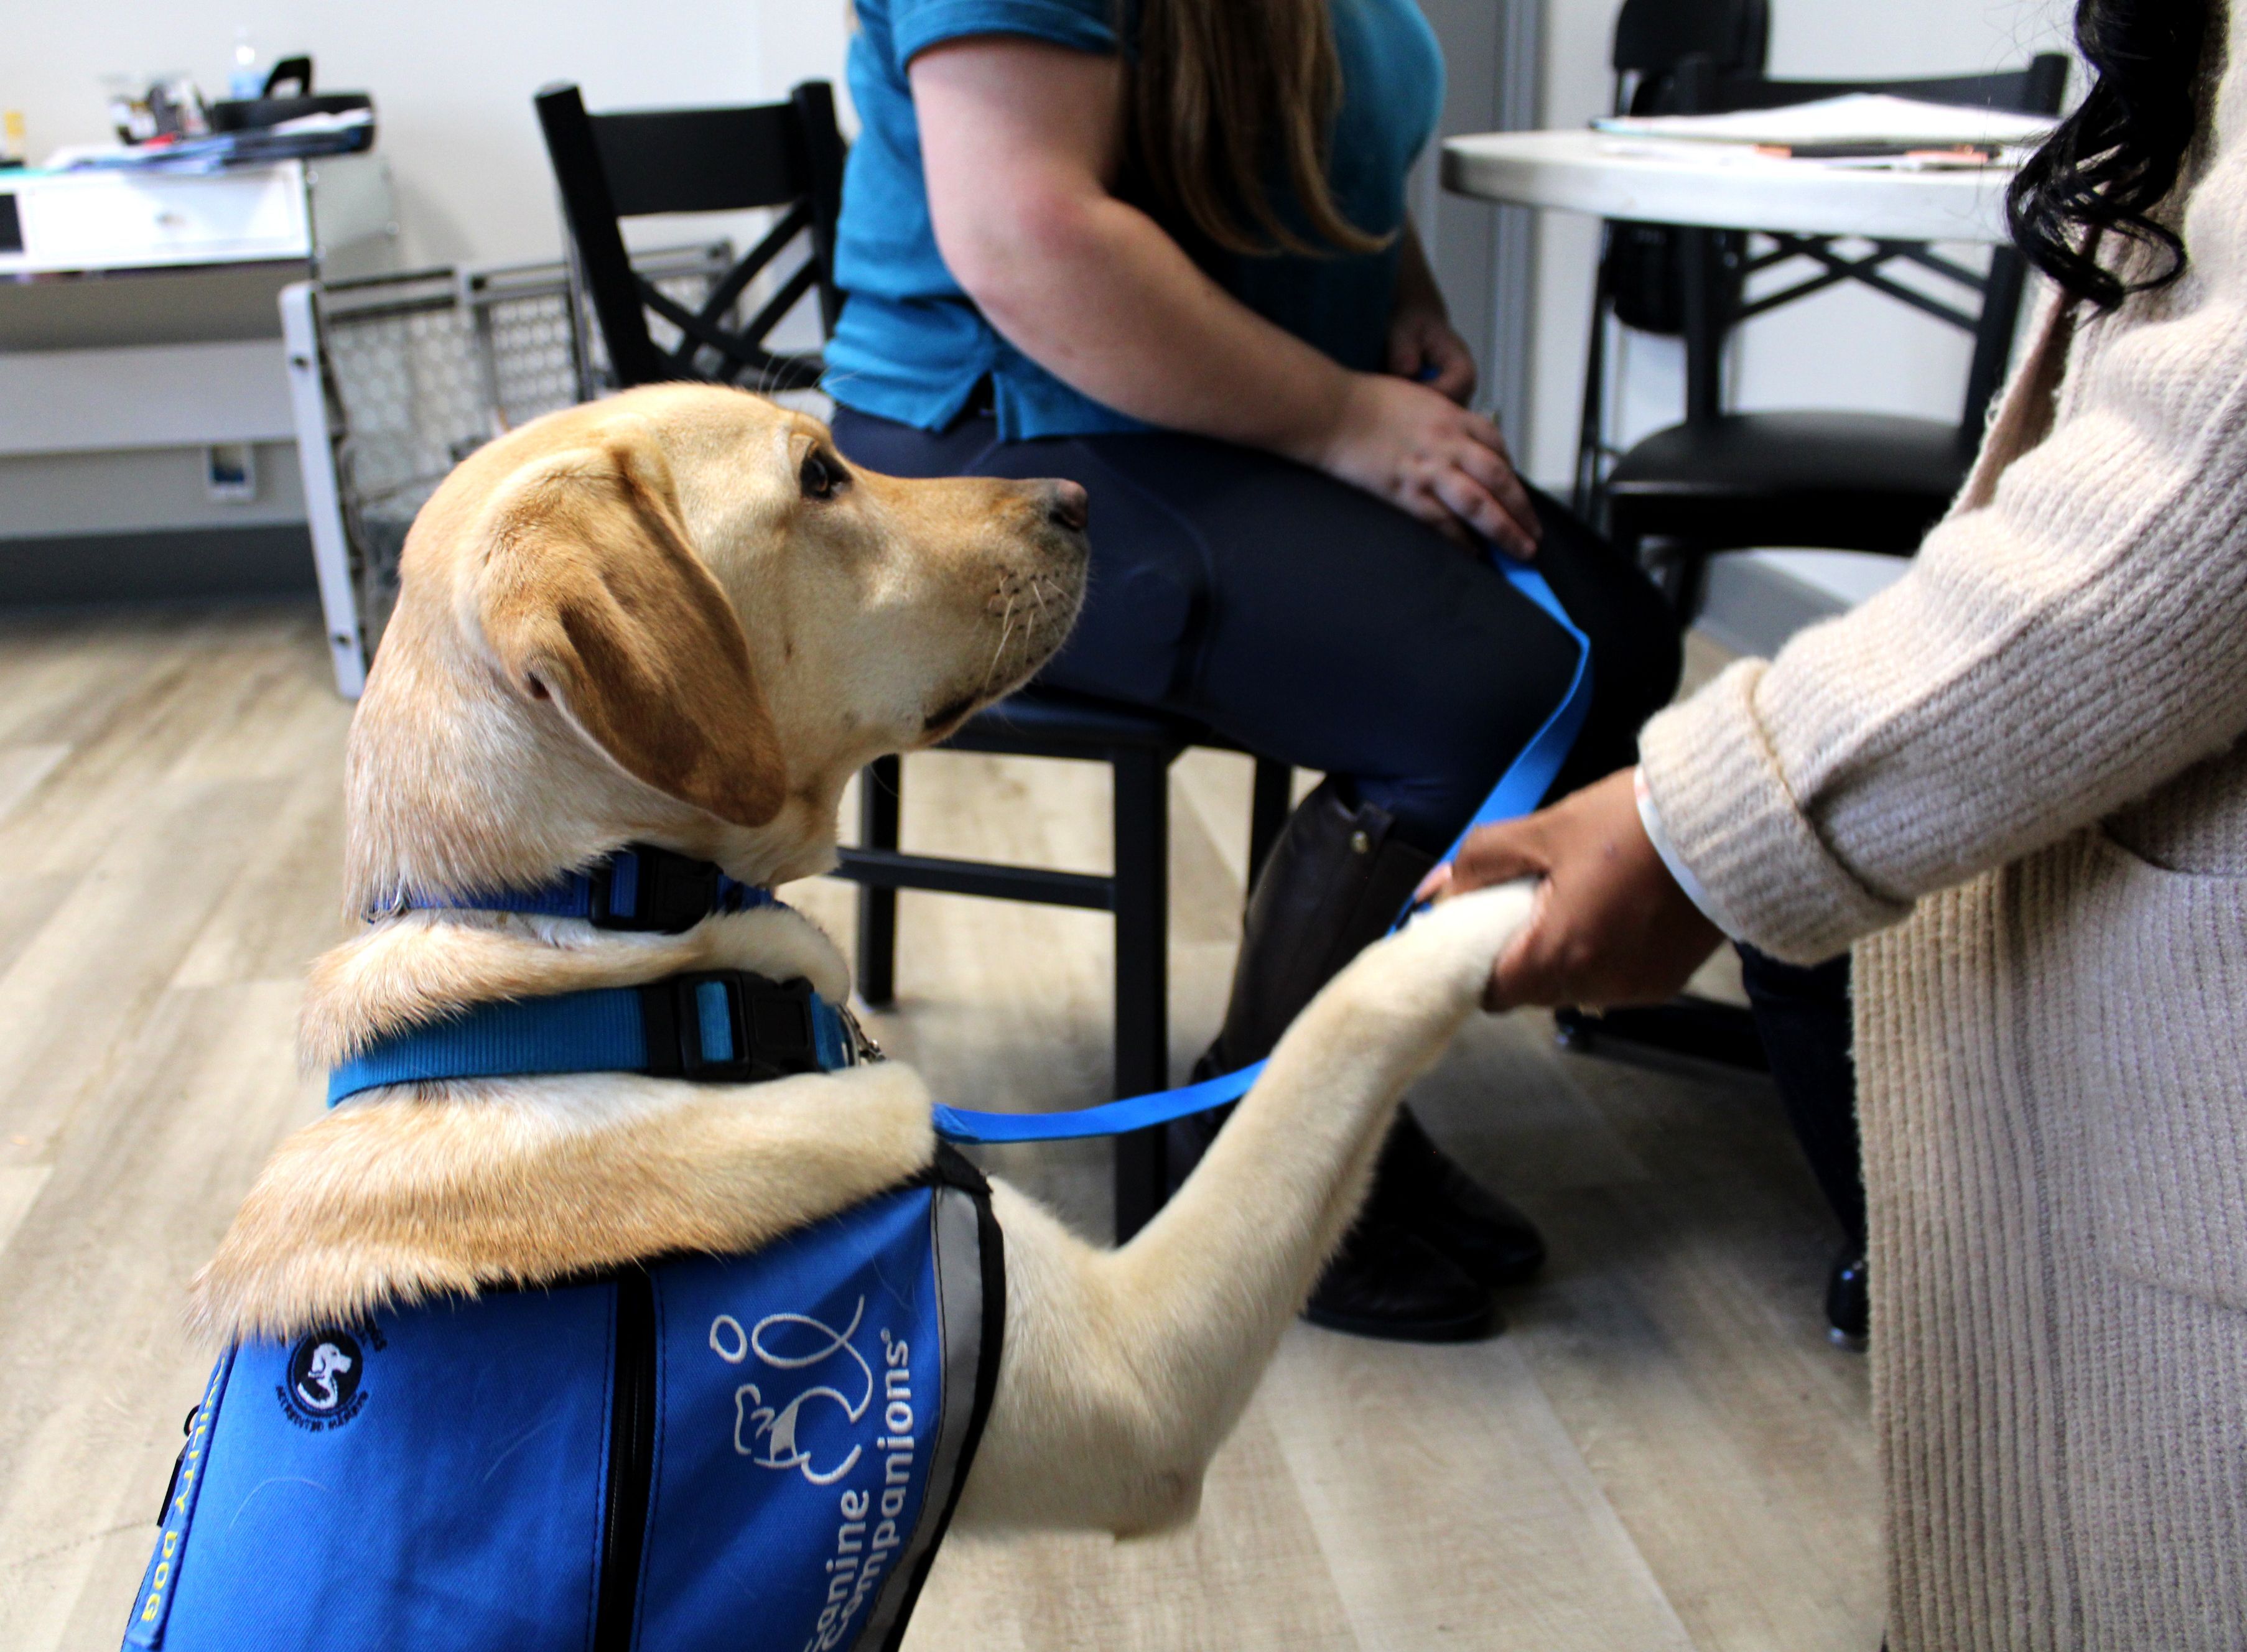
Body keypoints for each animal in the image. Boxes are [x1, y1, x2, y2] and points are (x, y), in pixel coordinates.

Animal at [149, 384, 1537, 1645]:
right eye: (821, 476)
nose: (1077, 498)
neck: (609, 978)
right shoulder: (1140, 1386)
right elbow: (1333, 1026)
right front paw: (1510, 888)